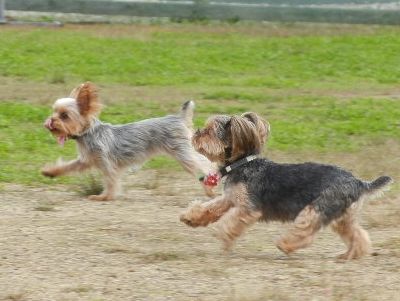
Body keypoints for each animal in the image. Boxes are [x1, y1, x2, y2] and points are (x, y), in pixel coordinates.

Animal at [42, 81, 214, 200]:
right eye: (54, 112)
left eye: (64, 116)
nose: (49, 122)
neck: (88, 133)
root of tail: (178, 118)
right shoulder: (85, 160)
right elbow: (67, 166)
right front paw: (49, 172)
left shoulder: (106, 163)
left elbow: (110, 180)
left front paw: (104, 197)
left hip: (182, 152)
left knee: (205, 166)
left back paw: (210, 189)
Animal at [181, 112, 394, 258]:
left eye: (209, 131)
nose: (196, 133)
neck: (242, 164)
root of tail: (359, 182)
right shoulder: (230, 199)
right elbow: (209, 208)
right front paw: (190, 218)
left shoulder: (248, 208)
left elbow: (229, 223)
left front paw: (222, 236)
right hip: (342, 217)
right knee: (358, 235)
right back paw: (349, 255)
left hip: (316, 208)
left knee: (306, 232)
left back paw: (285, 244)